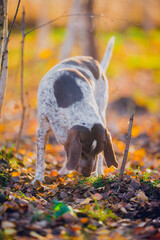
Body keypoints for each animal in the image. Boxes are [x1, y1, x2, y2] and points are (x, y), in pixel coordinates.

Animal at [32, 36, 117, 184]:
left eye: (97, 151)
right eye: (82, 152)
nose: (88, 174)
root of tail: (93, 61)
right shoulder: (42, 129)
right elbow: (40, 158)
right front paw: (38, 180)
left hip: (102, 110)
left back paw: (98, 172)